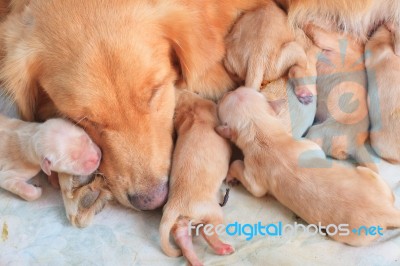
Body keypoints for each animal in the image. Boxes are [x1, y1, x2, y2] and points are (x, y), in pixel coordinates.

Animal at [160, 90, 231, 266]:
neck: (191, 111)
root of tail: (174, 205)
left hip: (180, 221)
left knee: (182, 236)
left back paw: (195, 260)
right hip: (212, 210)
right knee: (207, 231)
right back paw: (223, 248)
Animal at [217, 88, 400, 247]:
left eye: (227, 95)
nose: (227, 91)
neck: (260, 130)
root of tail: (386, 210)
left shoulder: (256, 175)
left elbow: (247, 178)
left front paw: (231, 175)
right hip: (371, 181)